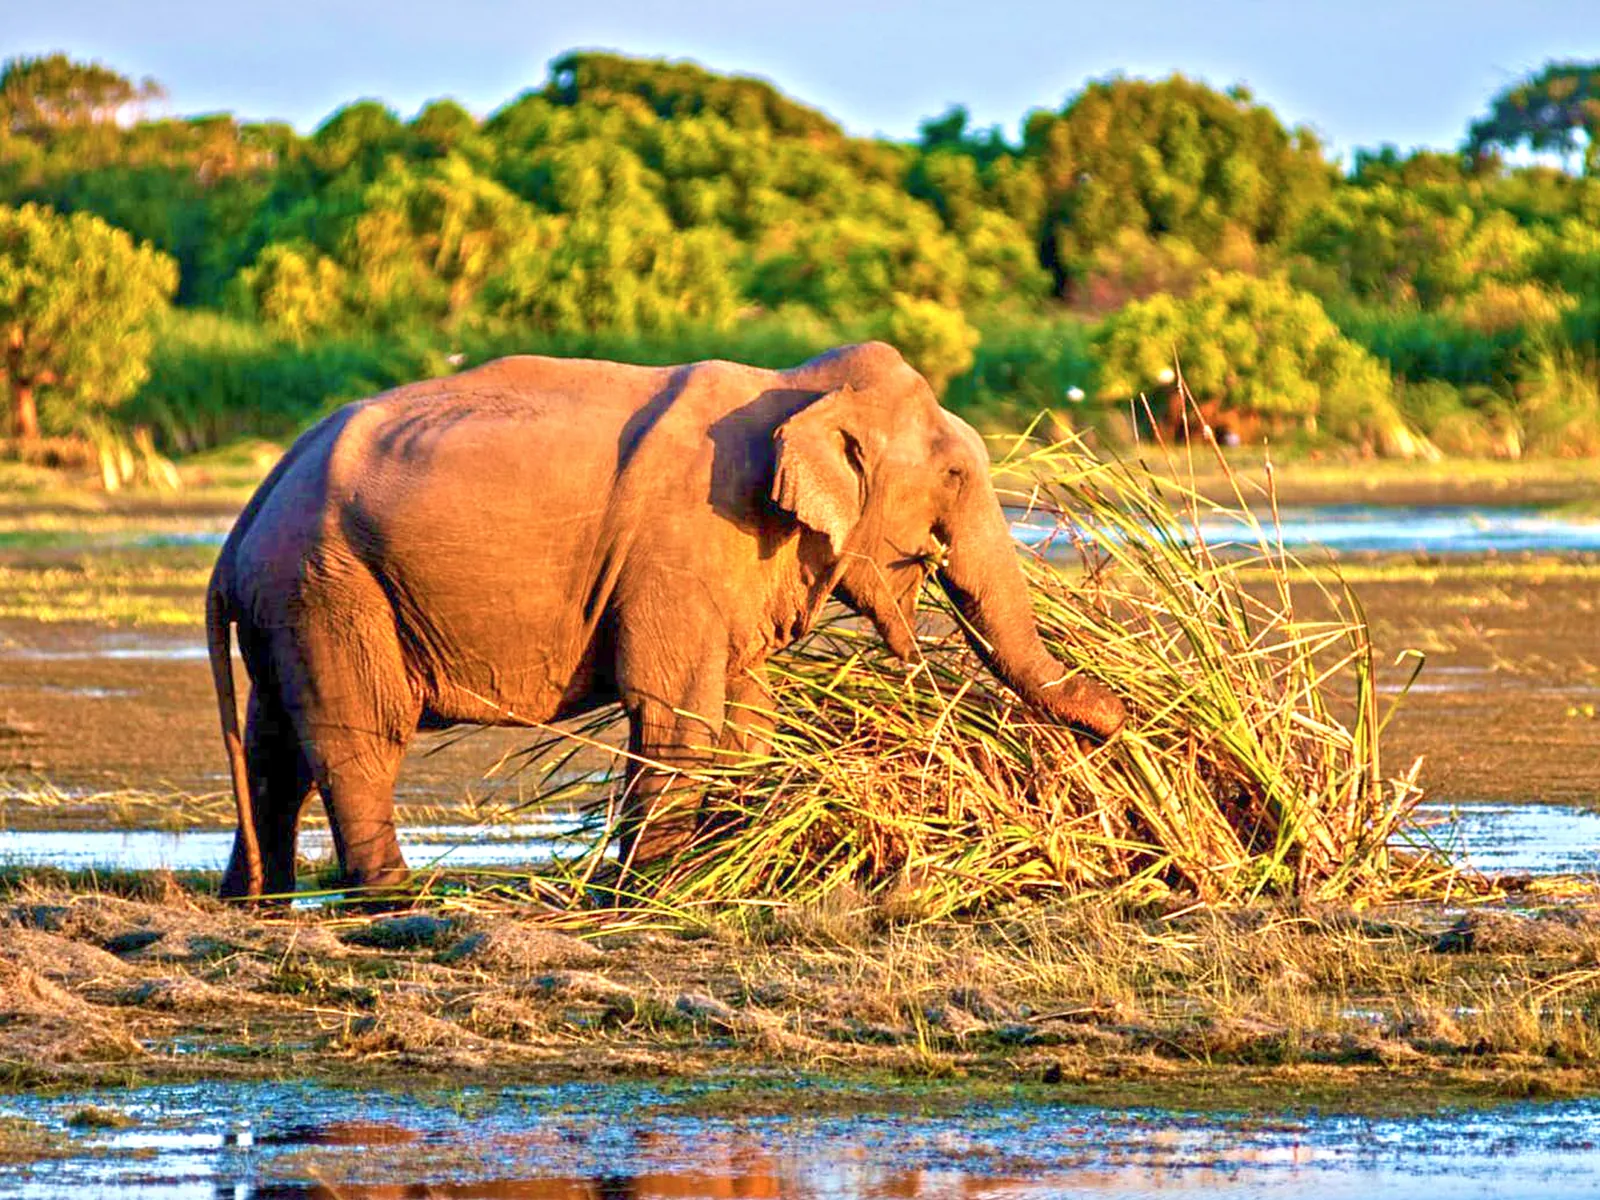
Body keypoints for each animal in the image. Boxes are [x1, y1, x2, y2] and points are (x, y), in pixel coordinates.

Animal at [206, 341, 1127, 898]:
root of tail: (240, 528)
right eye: (957, 477)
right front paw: (654, 891)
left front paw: (730, 862)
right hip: (329, 586)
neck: (796, 385)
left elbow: (748, 720)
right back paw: (397, 896)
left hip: (293, 601)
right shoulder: (680, 547)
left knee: (275, 747)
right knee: (357, 737)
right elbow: (677, 715)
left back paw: (259, 898)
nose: (1129, 717)